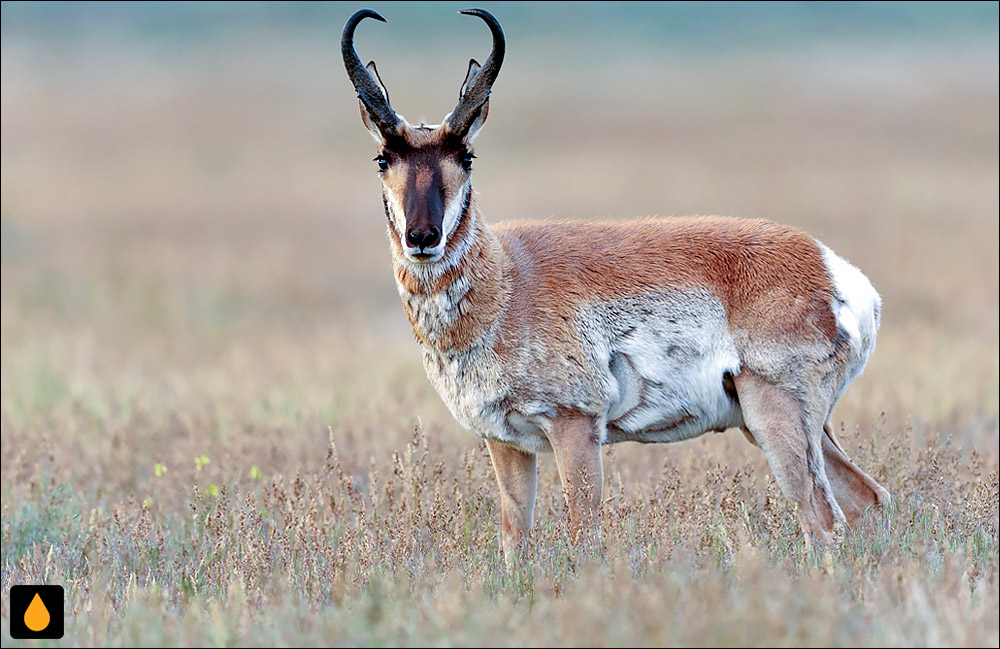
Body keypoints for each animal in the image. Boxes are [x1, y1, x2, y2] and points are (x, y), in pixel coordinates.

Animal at [344, 7, 892, 556]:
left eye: (466, 156)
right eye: (383, 158)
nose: (423, 236)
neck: (507, 280)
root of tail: (831, 268)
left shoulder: (575, 426)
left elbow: (584, 533)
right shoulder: (505, 442)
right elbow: (515, 539)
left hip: (774, 419)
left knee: (824, 519)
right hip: (784, 428)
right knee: (869, 498)